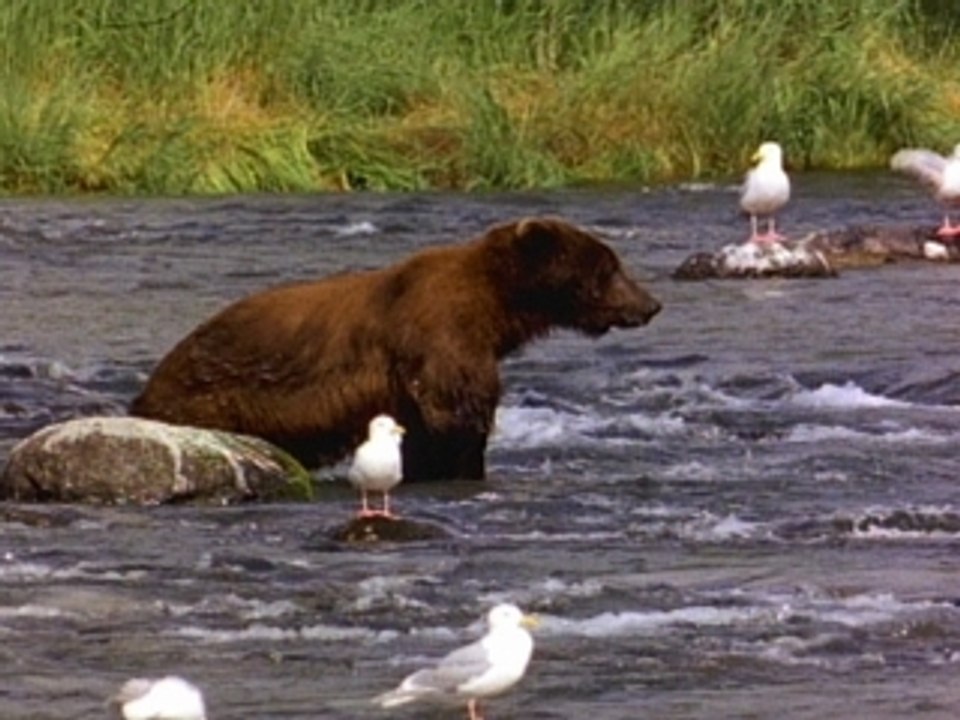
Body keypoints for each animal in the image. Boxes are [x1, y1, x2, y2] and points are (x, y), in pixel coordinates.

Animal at [130, 216, 662, 481]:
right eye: (610, 268)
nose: (651, 304)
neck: (497, 311)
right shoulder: (440, 338)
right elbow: (457, 420)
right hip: (214, 399)